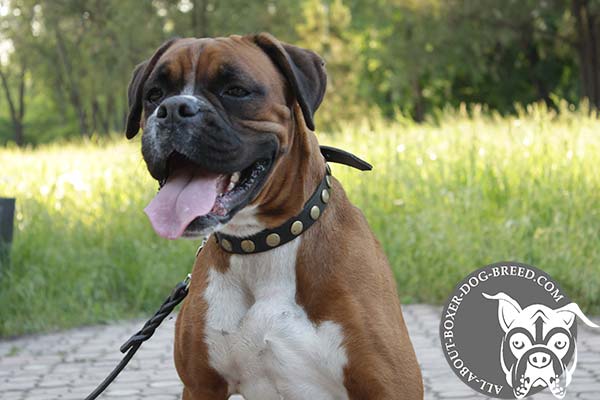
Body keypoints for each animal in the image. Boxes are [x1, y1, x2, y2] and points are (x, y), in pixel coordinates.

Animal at [123, 32, 422, 398]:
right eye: (154, 95)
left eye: (235, 90)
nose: (174, 109)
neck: (261, 243)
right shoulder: (201, 387)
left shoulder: (389, 386)